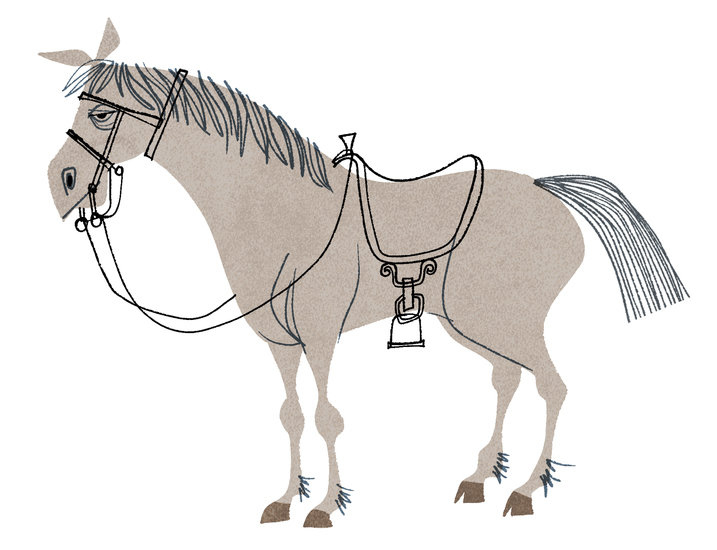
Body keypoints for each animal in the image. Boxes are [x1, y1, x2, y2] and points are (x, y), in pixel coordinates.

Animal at [41, 20, 687, 528]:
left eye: (99, 112)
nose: (62, 182)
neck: (283, 212)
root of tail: (547, 189)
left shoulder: (321, 336)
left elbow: (328, 418)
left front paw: (326, 508)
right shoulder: (280, 343)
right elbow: (292, 416)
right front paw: (285, 500)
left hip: (510, 320)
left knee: (552, 385)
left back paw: (527, 491)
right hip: (476, 322)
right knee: (508, 380)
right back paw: (480, 478)